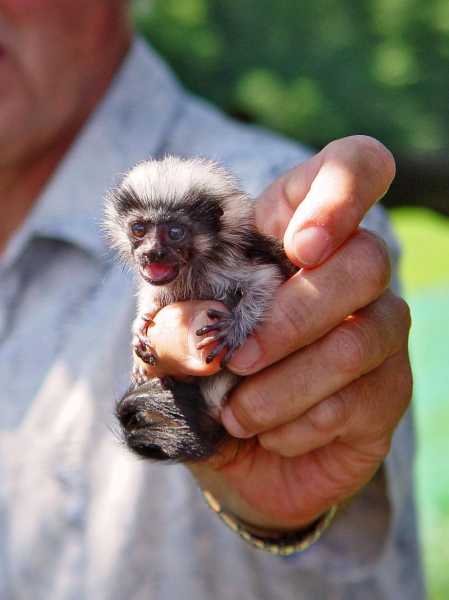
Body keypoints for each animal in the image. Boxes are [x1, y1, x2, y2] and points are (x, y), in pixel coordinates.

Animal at [104, 157, 294, 462]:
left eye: (175, 233)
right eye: (139, 229)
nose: (152, 253)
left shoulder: (233, 261)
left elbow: (267, 278)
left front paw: (232, 328)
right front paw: (140, 326)